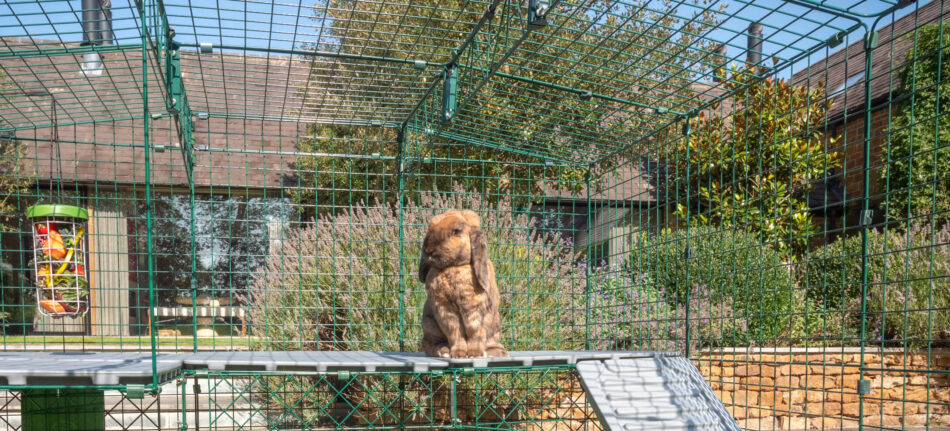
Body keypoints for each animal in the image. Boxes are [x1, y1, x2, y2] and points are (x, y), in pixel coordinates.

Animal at [414, 211, 506, 360]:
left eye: (456, 231)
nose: (429, 250)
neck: (455, 267)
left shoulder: (475, 311)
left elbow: (475, 334)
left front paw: (475, 355)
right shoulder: (444, 309)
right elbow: (455, 333)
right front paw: (458, 355)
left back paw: (494, 352)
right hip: (429, 325)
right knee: (429, 345)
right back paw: (443, 351)